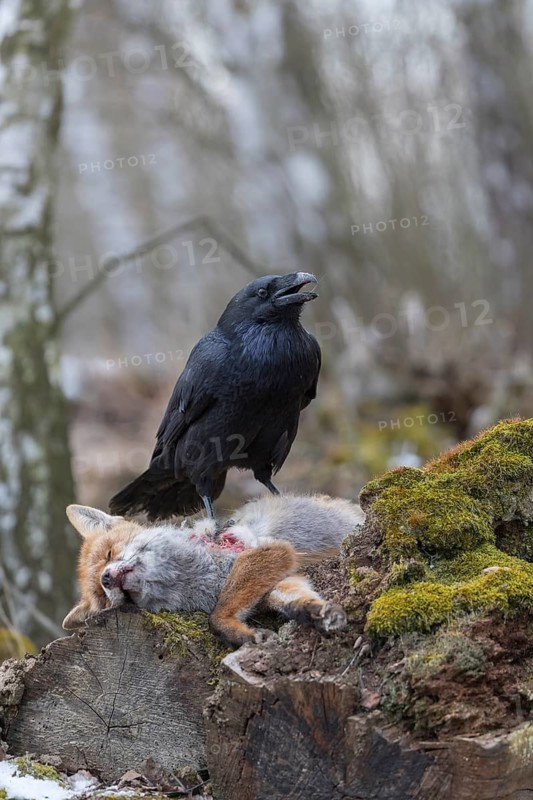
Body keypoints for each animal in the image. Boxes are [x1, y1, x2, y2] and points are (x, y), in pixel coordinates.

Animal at [63, 494, 363, 646]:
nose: (106, 578)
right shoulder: (278, 581)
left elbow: (217, 616)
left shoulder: (271, 553)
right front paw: (316, 612)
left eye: (108, 554)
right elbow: (292, 601)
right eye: (102, 597)